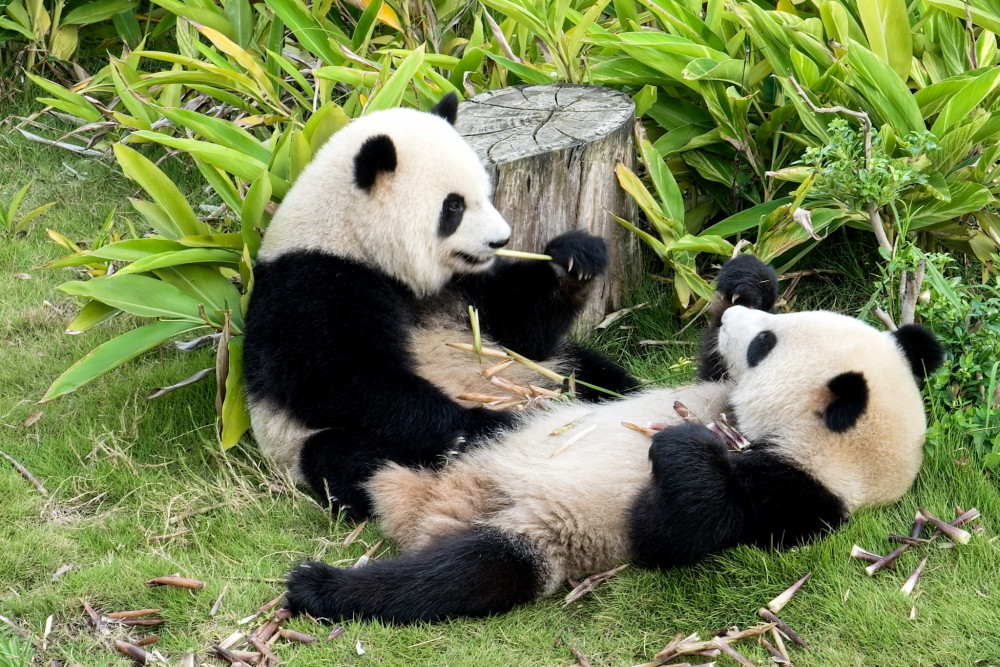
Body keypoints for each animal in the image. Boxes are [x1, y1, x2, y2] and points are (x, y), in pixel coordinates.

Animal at [242, 93, 637, 521]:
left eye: (485, 193)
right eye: (454, 207)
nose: (501, 240)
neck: (349, 237)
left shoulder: (464, 286)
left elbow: (522, 332)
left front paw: (575, 259)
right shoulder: (312, 287)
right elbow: (342, 383)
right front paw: (485, 423)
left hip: (547, 371)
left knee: (596, 375)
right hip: (299, 443)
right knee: (343, 456)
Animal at [283, 255, 944, 623]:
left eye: (765, 344)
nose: (739, 320)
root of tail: (426, 508)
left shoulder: (790, 500)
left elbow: (682, 528)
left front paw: (682, 446)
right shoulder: (719, 392)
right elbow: (707, 368)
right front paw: (746, 283)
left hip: (533, 537)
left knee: (455, 578)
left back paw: (321, 587)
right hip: (451, 449)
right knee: (350, 456)